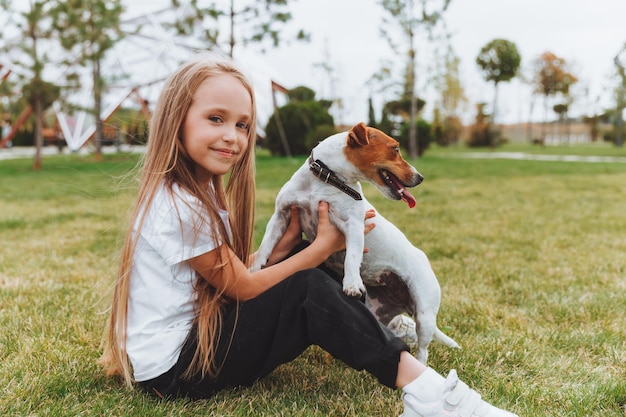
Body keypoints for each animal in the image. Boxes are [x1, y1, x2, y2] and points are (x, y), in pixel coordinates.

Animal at [250, 122, 458, 362]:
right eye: (395, 149)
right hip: (377, 312)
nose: (421, 177)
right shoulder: (281, 216)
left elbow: (351, 257)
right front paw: (254, 269)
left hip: (424, 314)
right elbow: (266, 245)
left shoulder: (354, 226)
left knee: (423, 350)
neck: (326, 179)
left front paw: (351, 283)